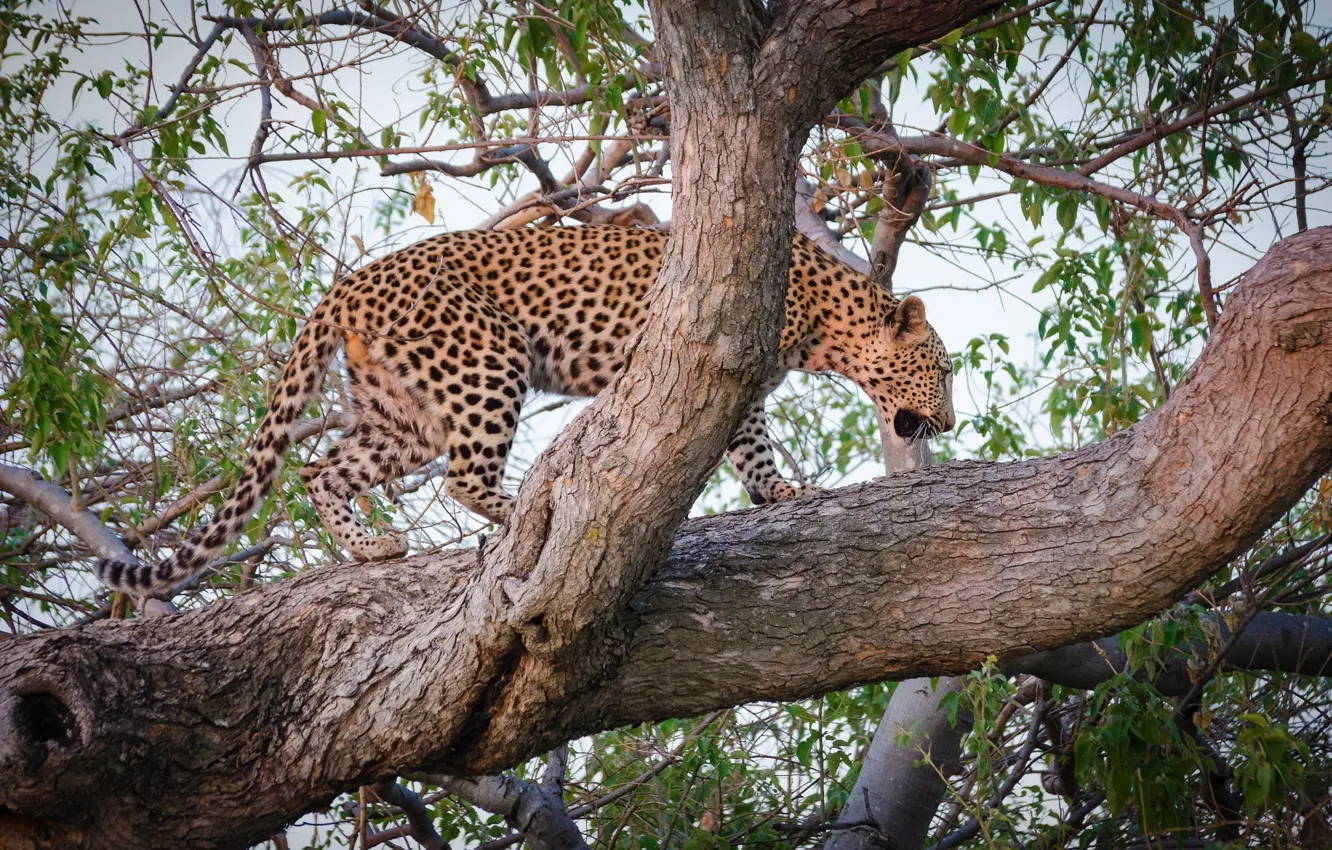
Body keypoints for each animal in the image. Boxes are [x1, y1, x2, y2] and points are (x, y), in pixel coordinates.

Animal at [93, 226, 953, 599]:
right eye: (942, 372)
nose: (946, 424)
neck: (829, 322)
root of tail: (350, 283)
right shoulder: (718, 360)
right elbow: (743, 439)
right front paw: (779, 489)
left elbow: (754, 450)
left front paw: (780, 493)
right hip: (484, 360)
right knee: (462, 478)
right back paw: (520, 510)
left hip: (401, 412)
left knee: (319, 467)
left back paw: (371, 548)